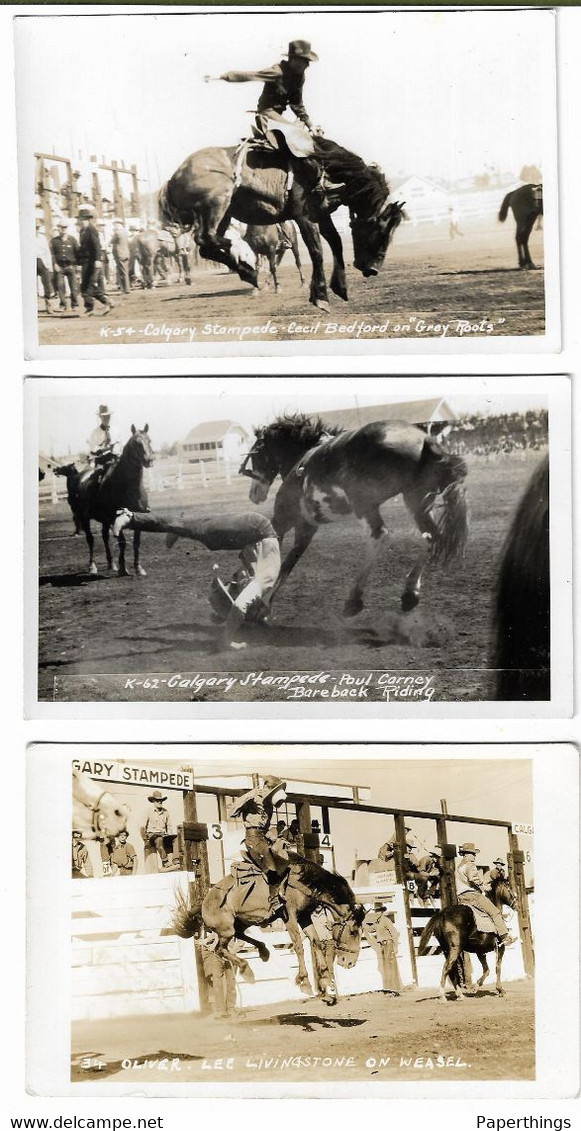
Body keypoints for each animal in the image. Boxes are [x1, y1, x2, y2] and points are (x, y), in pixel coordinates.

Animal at [68, 427, 153, 579]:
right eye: (136, 443)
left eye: (149, 440)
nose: (149, 460)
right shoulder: (116, 518)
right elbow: (122, 542)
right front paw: (123, 568)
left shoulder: (137, 517)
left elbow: (136, 543)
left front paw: (138, 568)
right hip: (84, 518)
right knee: (90, 539)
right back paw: (92, 566)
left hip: (104, 520)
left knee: (104, 536)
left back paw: (111, 564)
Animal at [157, 138, 402, 312]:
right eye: (380, 231)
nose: (373, 269)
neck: (322, 170)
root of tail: (173, 178)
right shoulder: (304, 215)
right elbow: (317, 250)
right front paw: (320, 297)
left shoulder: (321, 214)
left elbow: (335, 242)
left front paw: (339, 287)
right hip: (217, 204)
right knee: (207, 239)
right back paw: (244, 262)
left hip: (224, 214)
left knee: (206, 246)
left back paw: (249, 273)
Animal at [169, 850, 363, 1008]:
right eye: (353, 931)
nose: (349, 963)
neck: (302, 881)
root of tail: (204, 901)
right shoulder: (289, 915)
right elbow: (298, 945)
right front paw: (305, 982)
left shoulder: (304, 916)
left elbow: (315, 942)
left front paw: (326, 981)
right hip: (226, 928)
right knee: (220, 948)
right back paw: (247, 969)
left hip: (243, 921)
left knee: (238, 937)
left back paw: (263, 951)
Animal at [237, 411, 467, 615]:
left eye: (256, 452)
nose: (253, 494)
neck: (301, 460)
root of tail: (424, 440)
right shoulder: (307, 527)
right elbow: (288, 563)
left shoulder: (284, 518)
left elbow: (273, 558)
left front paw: (259, 603)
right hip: (417, 500)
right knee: (432, 536)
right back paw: (410, 592)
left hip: (364, 503)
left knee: (380, 535)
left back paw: (354, 598)